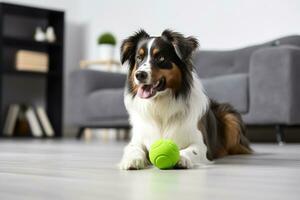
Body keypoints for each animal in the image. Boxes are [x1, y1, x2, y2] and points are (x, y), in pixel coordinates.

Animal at [119, 30, 251, 170]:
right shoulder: (138, 139)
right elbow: (133, 148)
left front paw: (181, 158)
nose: (139, 75)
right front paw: (132, 160)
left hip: (230, 117)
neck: (160, 103)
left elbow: (192, 150)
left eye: (160, 58)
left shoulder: (202, 145)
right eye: (139, 58)